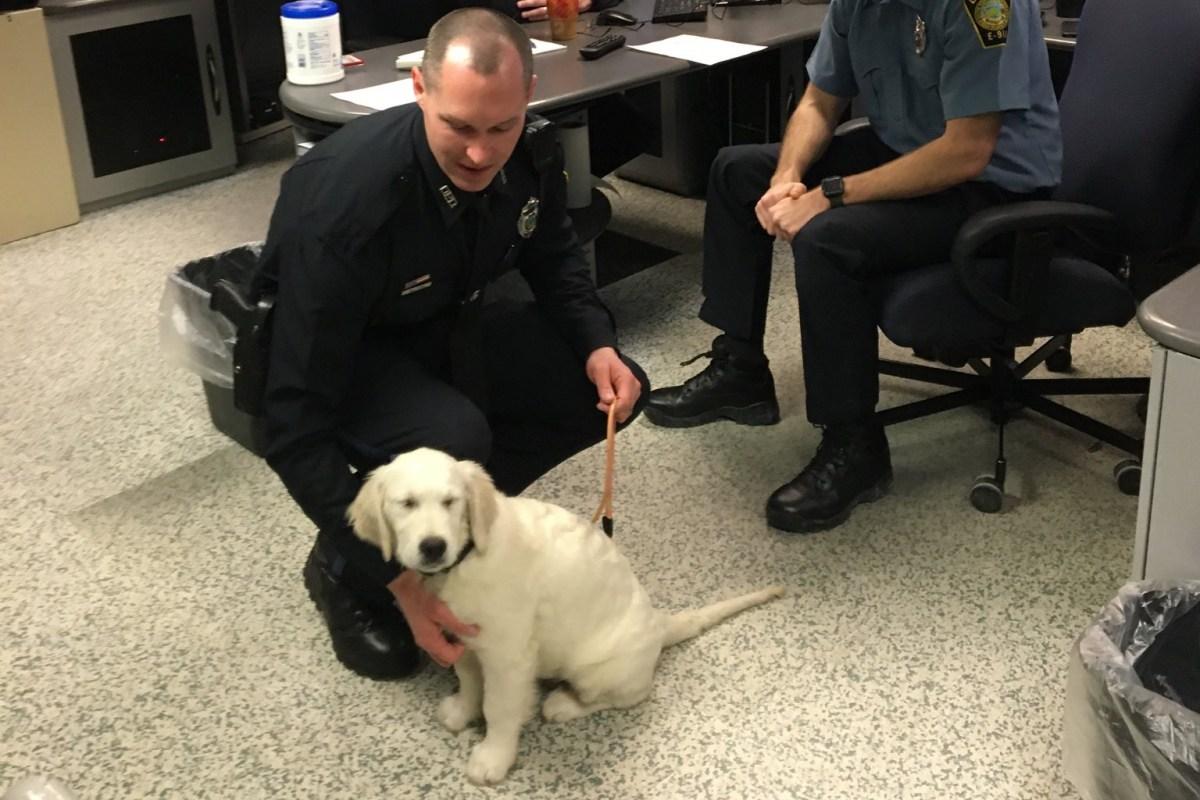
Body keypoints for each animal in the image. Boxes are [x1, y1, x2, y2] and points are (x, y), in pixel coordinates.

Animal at [345, 448, 787, 786]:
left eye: (451, 502)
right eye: (406, 504)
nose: (433, 546)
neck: (468, 558)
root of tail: (660, 623)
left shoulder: (508, 656)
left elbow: (500, 707)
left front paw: (493, 758)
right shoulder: (466, 638)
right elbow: (470, 681)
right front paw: (462, 711)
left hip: (596, 670)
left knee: (629, 696)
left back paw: (562, 704)